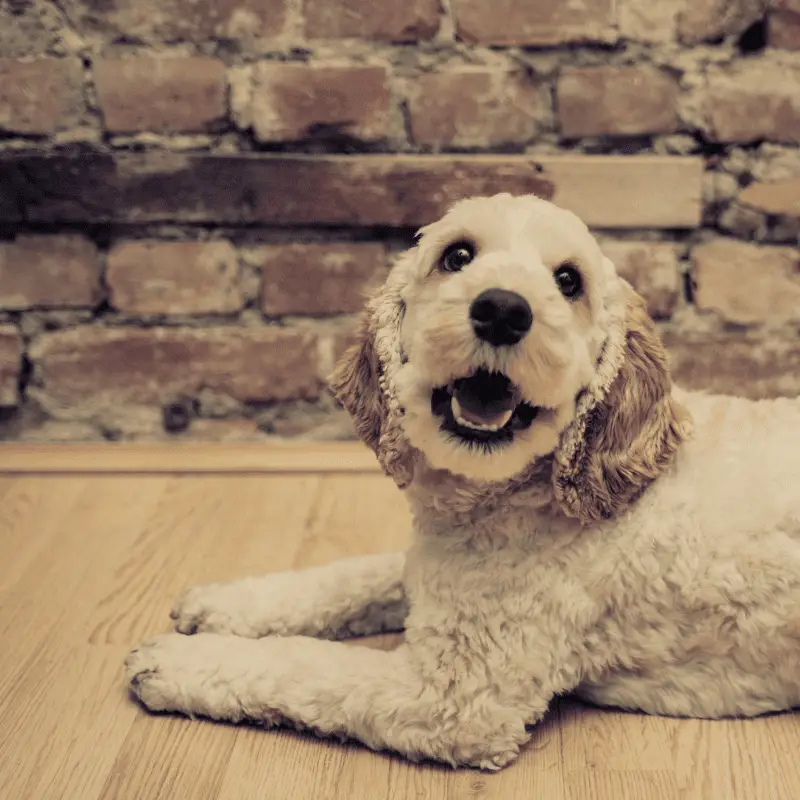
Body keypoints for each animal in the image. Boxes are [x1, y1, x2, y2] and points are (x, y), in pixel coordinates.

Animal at [125, 192, 800, 768]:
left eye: (568, 281)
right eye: (457, 256)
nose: (502, 309)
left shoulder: (451, 696)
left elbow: (307, 666)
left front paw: (177, 661)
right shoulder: (434, 571)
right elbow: (351, 577)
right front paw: (228, 604)